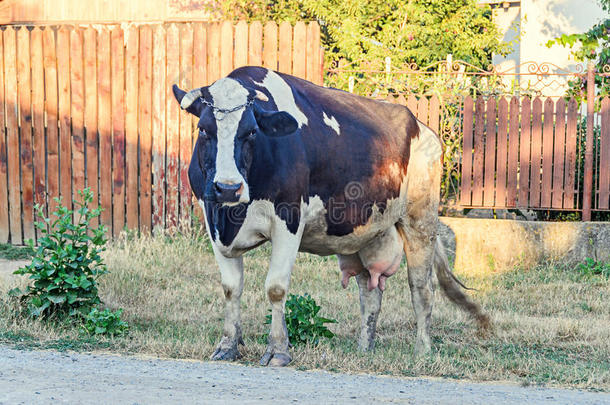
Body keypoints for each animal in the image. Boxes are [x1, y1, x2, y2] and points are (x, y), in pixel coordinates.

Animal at [172, 67, 490, 366]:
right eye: (203, 129)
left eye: (251, 132)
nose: (228, 187)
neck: (232, 216)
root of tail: (423, 128)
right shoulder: (213, 223)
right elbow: (231, 288)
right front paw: (227, 346)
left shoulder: (289, 221)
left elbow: (275, 288)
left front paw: (278, 350)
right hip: (366, 234)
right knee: (370, 294)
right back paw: (364, 349)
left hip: (420, 220)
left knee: (421, 289)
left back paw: (422, 350)